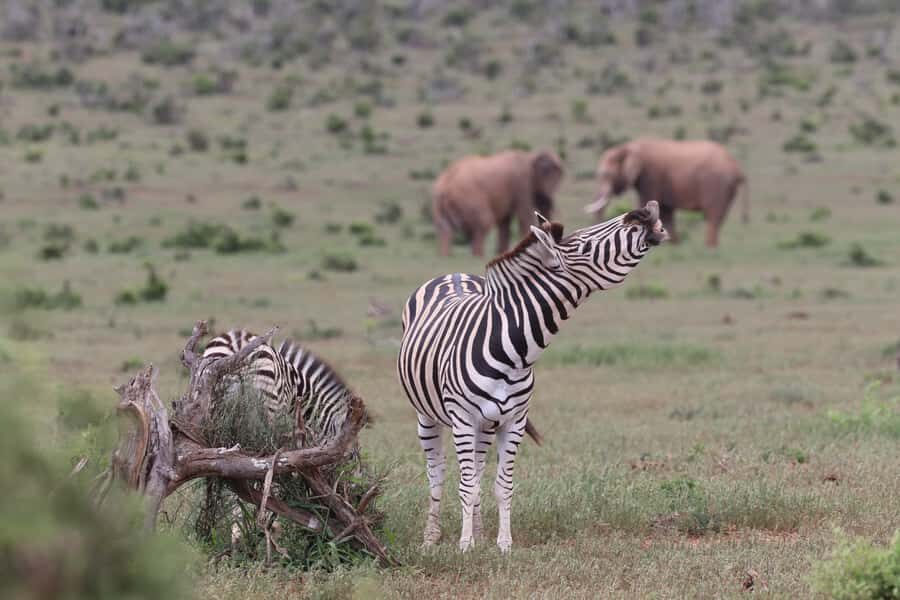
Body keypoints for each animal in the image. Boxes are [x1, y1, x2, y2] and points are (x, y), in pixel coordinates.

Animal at [431, 150, 564, 257]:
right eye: (544, 177)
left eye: (558, 179)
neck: (530, 157)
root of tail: (445, 185)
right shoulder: (522, 184)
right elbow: (524, 216)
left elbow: (504, 222)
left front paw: (502, 252)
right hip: (469, 198)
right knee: (483, 223)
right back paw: (478, 256)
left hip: (438, 203)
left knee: (444, 228)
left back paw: (445, 256)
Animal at [584, 138, 748, 248]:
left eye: (606, 175)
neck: (628, 147)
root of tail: (737, 167)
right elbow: (666, 212)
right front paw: (672, 244)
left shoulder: (650, 177)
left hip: (717, 184)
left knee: (713, 216)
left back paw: (709, 248)